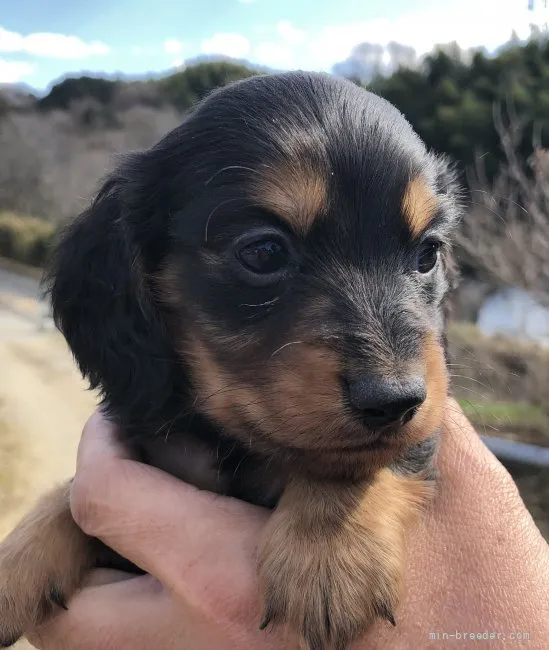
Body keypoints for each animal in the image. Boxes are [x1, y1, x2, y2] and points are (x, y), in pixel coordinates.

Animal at [0, 71, 460, 648]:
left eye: (428, 254)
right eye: (263, 252)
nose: (395, 400)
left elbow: (356, 459)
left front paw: (330, 552)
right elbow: (69, 494)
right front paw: (19, 555)